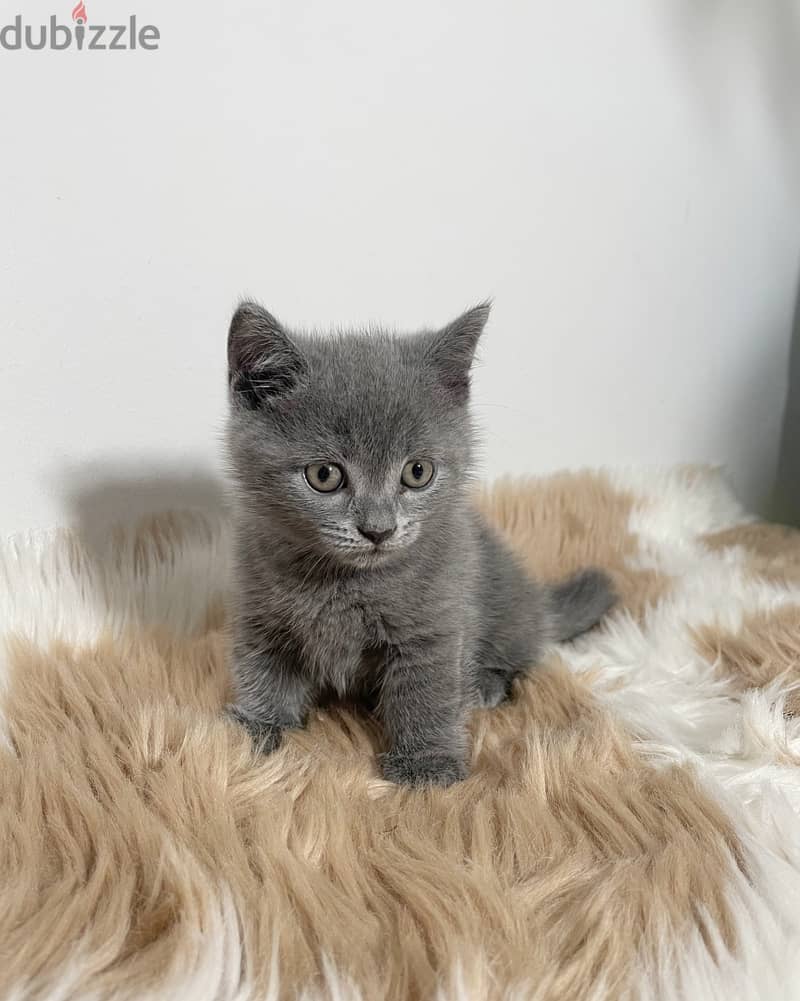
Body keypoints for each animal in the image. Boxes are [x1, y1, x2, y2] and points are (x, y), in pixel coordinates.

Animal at [225, 300, 620, 784]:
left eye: (417, 472)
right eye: (324, 475)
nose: (378, 529)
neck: (344, 581)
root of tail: (540, 601)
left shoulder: (434, 624)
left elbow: (426, 692)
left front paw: (426, 766)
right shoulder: (261, 613)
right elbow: (264, 670)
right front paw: (256, 731)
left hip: (506, 608)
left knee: (522, 654)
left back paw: (484, 684)